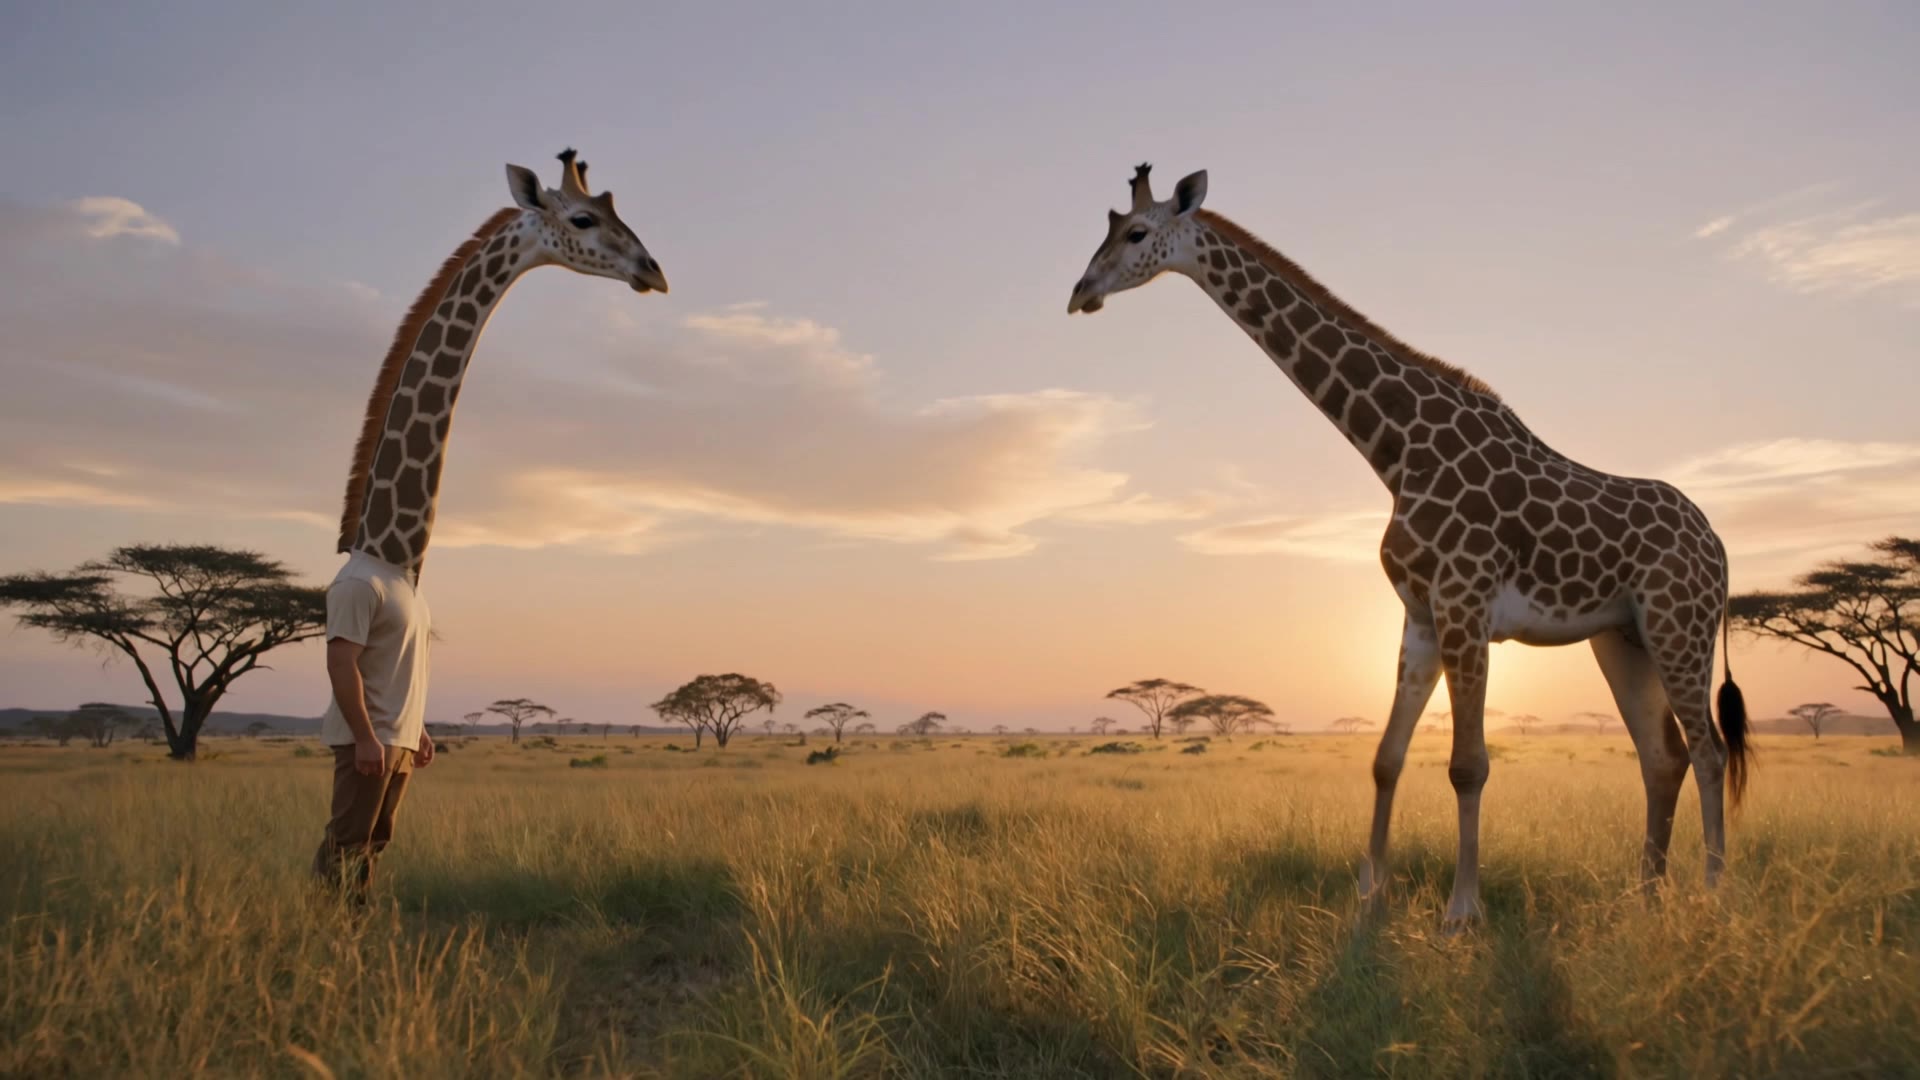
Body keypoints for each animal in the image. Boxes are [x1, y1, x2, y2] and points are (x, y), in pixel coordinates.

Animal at [1068, 164, 1750, 925]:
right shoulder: (1420, 613)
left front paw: (1462, 910)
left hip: (1679, 625)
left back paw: (1713, 892)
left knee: (1709, 751)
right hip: (1622, 637)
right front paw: (1369, 892)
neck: (1396, 450)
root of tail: (1719, 546)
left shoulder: (1465, 604)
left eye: (1136, 233)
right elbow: (1386, 756)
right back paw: (1645, 895)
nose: (1080, 292)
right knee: (1663, 757)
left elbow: (1468, 764)